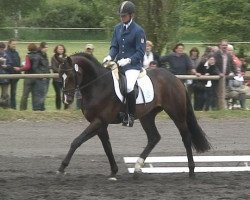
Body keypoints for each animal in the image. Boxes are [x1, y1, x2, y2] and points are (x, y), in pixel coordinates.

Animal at [56, 52, 211, 179]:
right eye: (59, 75)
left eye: (70, 76)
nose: (67, 100)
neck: (98, 85)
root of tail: (175, 78)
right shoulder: (100, 124)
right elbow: (106, 146)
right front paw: (114, 170)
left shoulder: (99, 121)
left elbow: (77, 141)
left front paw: (62, 167)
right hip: (147, 116)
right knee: (154, 138)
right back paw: (137, 167)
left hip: (176, 113)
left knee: (186, 137)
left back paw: (191, 171)